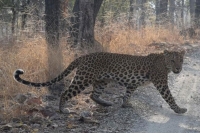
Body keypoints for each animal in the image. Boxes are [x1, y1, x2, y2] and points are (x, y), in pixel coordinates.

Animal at [14, 49, 188, 114]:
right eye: (173, 60)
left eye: (181, 60)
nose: (178, 69)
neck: (164, 63)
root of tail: (84, 56)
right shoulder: (161, 83)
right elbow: (170, 97)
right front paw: (179, 109)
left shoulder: (132, 84)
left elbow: (127, 94)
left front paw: (125, 104)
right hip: (83, 79)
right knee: (66, 92)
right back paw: (63, 110)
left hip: (102, 81)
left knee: (93, 95)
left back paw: (106, 103)